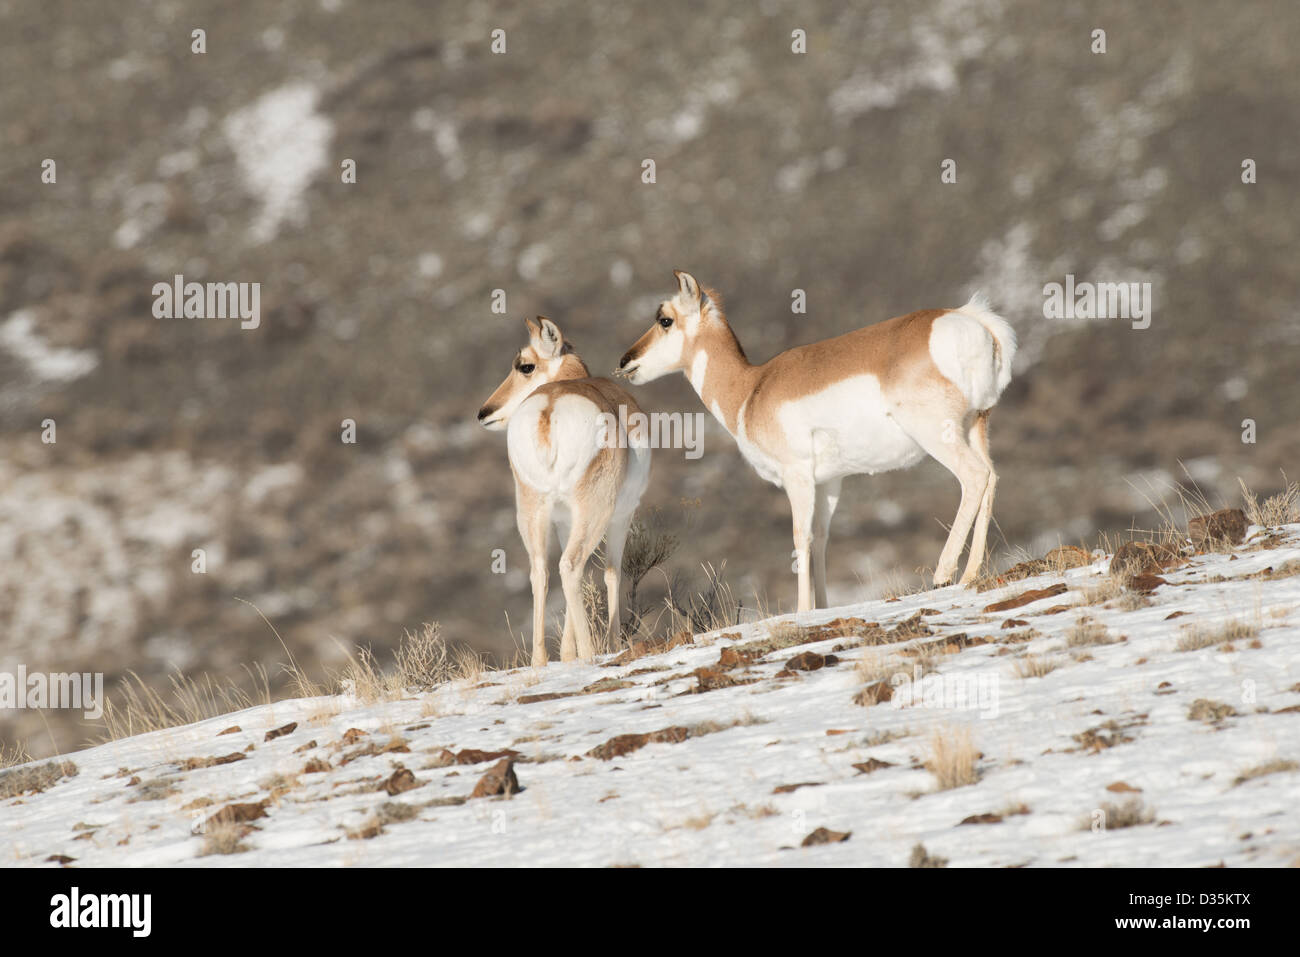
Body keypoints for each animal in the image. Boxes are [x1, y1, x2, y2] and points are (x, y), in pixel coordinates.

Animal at [478, 314, 650, 665]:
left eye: (525, 366)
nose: (484, 412)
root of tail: (550, 405)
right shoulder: (621, 517)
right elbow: (612, 573)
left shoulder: (561, 521)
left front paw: (567, 654)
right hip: (594, 511)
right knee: (571, 567)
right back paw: (589, 654)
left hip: (532, 511)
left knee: (542, 572)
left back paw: (541, 660)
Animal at [616, 273, 1013, 608]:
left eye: (664, 319)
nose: (624, 361)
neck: (750, 388)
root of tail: (970, 320)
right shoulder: (829, 484)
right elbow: (821, 540)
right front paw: (821, 607)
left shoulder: (798, 478)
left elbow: (800, 539)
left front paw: (802, 611)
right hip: (976, 427)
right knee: (992, 477)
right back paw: (971, 573)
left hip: (939, 436)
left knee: (974, 476)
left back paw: (943, 574)